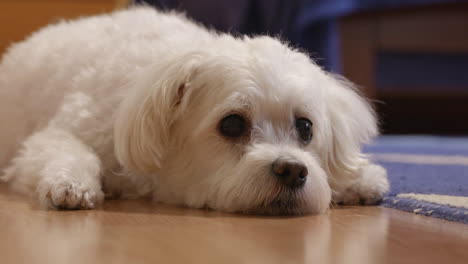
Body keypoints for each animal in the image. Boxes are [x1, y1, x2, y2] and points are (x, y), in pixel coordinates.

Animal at [0, 6, 388, 214]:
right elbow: (68, 151)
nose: (293, 170)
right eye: (231, 125)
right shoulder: (62, 133)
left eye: (306, 127)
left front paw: (356, 179)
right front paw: (71, 182)